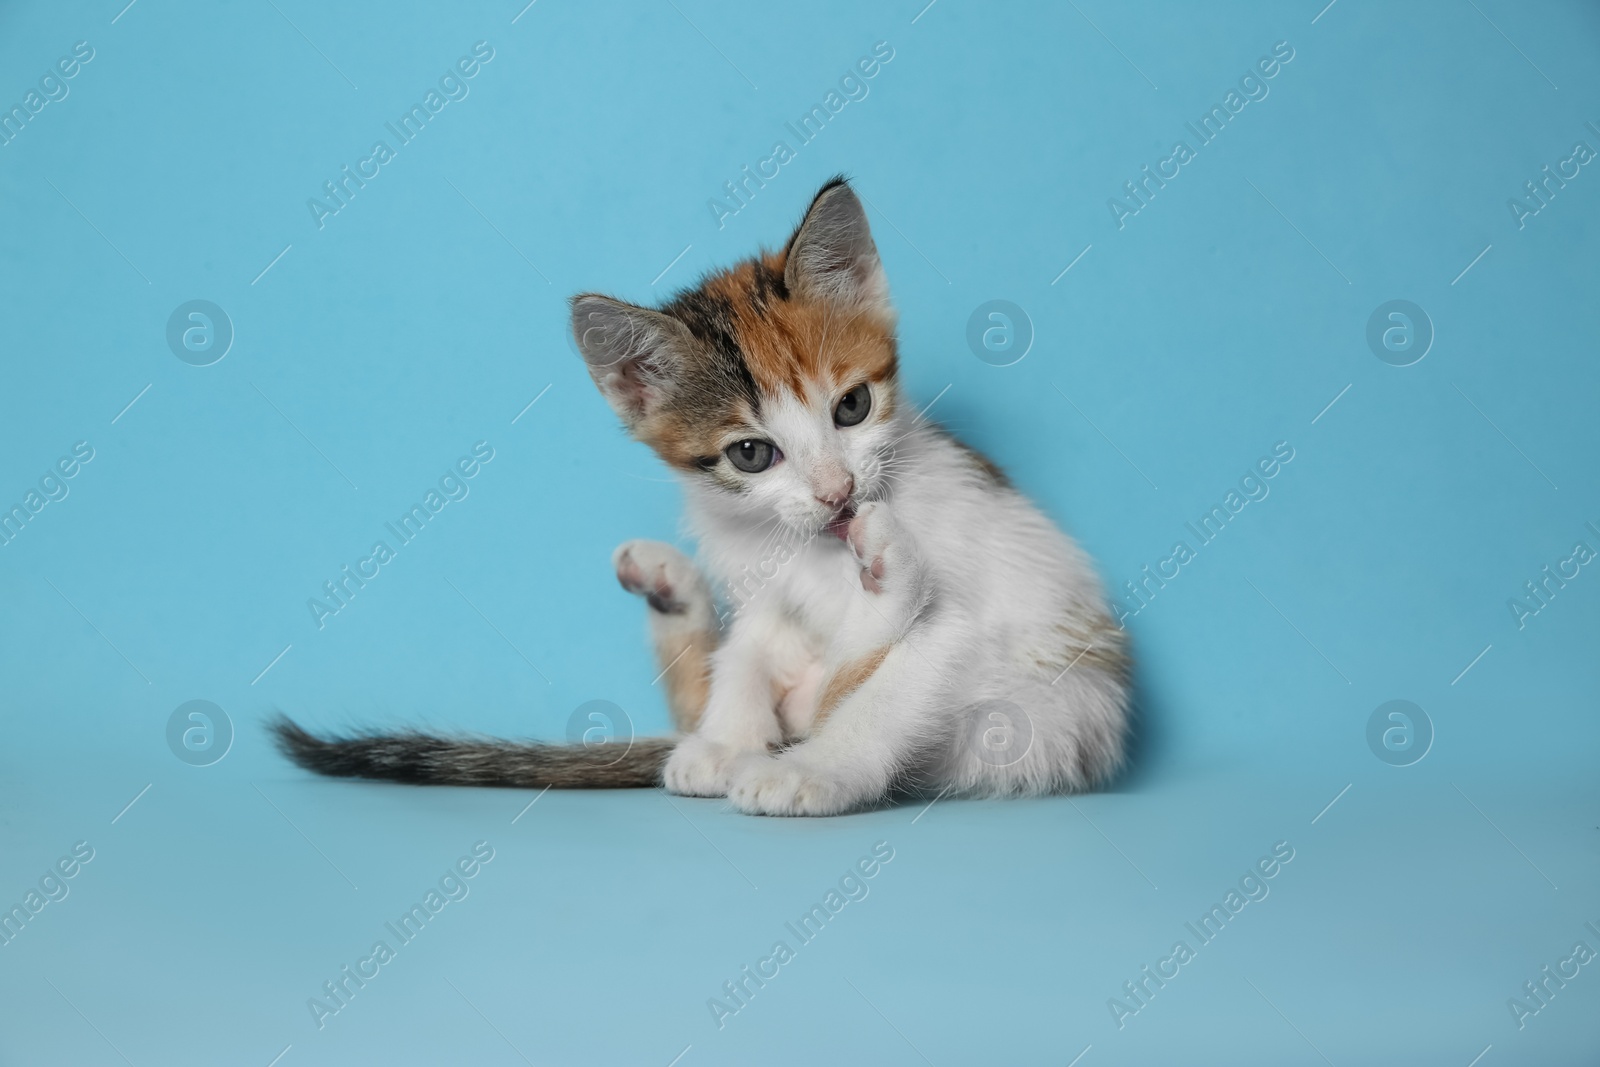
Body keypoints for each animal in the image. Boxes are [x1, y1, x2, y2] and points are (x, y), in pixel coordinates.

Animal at [272, 177, 1126, 819]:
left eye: (852, 406)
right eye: (751, 453)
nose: (839, 493)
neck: (811, 554)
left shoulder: (966, 624)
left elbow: (885, 690)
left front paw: (816, 771)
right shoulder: (758, 582)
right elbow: (746, 649)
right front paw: (726, 738)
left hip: (1028, 722)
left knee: (849, 682)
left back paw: (878, 585)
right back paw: (675, 599)